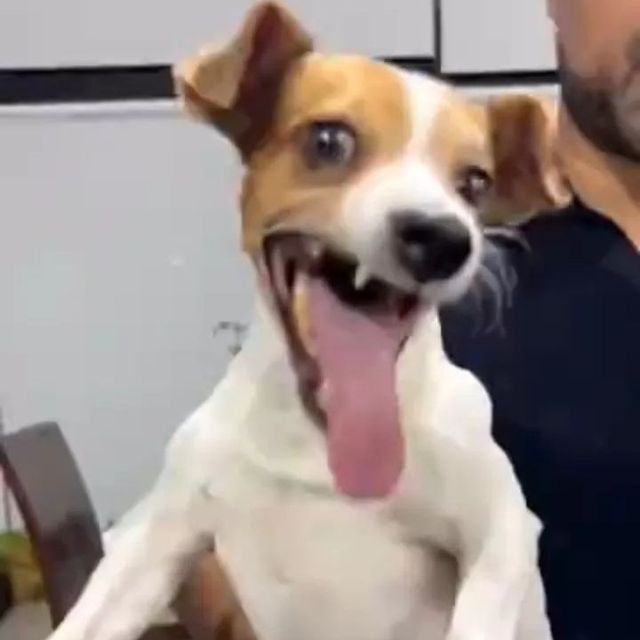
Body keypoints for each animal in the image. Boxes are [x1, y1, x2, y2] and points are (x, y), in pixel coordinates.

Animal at [47, 4, 571, 640]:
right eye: (328, 140)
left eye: (475, 183)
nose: (444, 239)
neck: (317, 447)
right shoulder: (153, 541)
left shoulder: (502, 530)